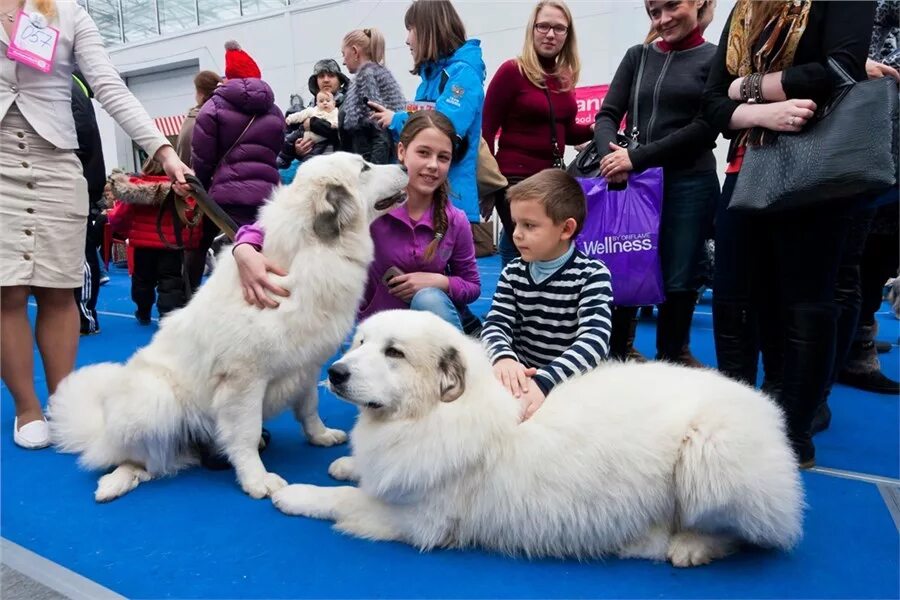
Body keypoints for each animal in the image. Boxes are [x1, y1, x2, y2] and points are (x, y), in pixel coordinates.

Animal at [49, 154, 408, 502]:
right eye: (364, 167)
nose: (404, 166)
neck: (309, 253)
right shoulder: (243, 381)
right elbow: (246, 434)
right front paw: (257, 480)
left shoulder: (307, 365)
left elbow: (308, 408)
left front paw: (320, 436)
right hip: (156, 399)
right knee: (134, 458)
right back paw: (113, 484)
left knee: (160, 463)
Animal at [272, 310, 800, 568]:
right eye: (360, 342)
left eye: (394, 353)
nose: (335, 373)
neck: (436, 412)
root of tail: (767, 412)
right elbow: (360, 475)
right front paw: (348, 463)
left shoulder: (420, 520)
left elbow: (341, 500)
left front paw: (294, 494)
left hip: (711, 453)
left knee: (746, 532)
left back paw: (689, 547)